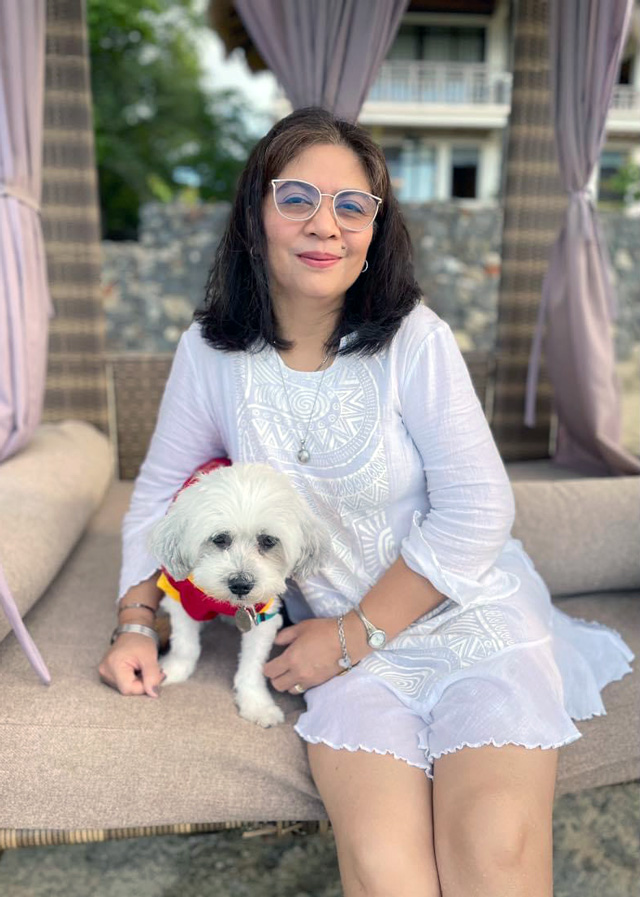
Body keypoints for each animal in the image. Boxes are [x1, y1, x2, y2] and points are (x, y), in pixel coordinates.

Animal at [148, 466, 332, 724]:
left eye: (268, 540)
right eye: (219, 538)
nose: (241, 585)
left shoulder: (263, 616)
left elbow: (252, 666)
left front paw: (256, 704)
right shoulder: (182, 599)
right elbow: (185, 645)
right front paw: (175, 669)